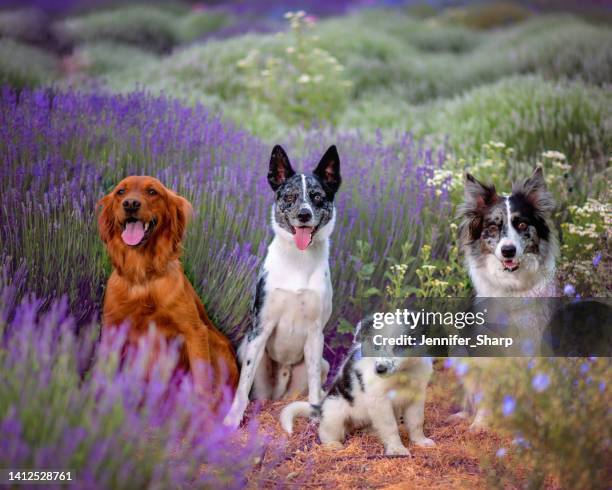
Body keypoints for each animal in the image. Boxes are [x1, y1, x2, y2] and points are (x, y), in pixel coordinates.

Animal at [98, 176, 239, 394]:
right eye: (121, 191)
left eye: (152, 191)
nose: (130, 204)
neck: (143, 278)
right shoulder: (112, 329)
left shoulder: (194, 331)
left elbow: (202, 383)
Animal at [224, 144, 342, 426]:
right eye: (289, 196)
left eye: (317, 197)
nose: (303, 214)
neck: (298, 260)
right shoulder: (261, 328)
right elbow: (242, 386)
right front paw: (232, 419)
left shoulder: (315, 333)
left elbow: (314, 383)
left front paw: (316, 418)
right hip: (246, 347)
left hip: (321, 363)